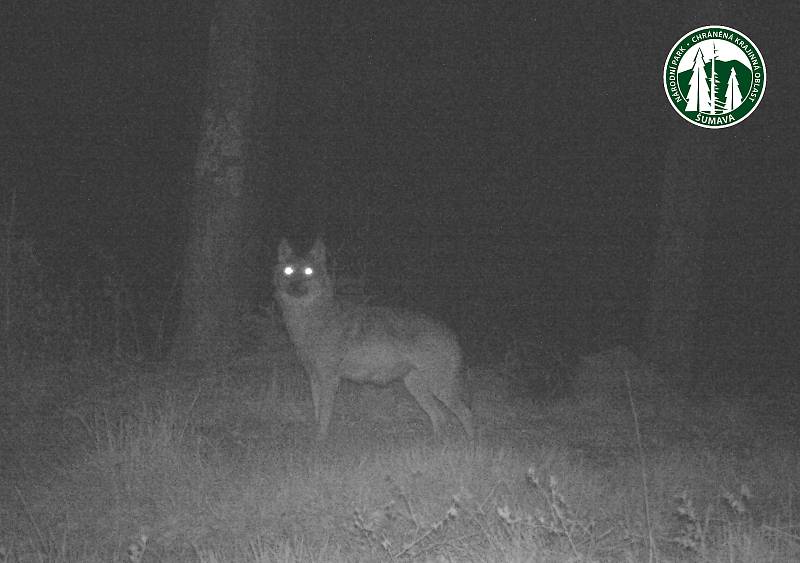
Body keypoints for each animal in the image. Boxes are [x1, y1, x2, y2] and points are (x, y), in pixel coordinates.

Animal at [276, 238, 476, 440]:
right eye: (288, 270)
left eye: (308, 271)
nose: (294, 287)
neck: (311, 319)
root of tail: (451, 333)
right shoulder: (314, 377)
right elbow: (317, 413)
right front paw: (315, 439)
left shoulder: (329, 379)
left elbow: (324, 416)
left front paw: (320, 441)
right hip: (417, 387)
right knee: (440, 416)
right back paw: (438, 444)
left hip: (438, 387)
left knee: (466, 414)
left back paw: (473, 444)